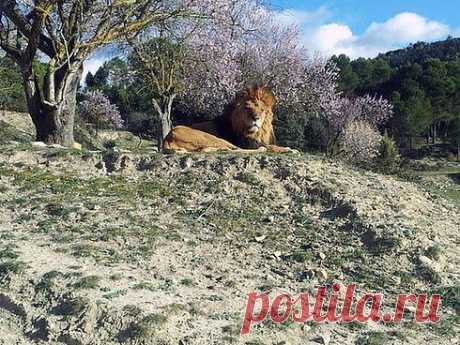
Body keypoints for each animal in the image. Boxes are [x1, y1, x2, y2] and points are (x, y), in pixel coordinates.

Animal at [164, 85, 294, 153]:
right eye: (247, 107)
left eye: (262, 109)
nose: (255, 118)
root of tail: (167, 138)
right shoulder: (246, 142)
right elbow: (269, 146)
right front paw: (288, 148)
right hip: (209, 137)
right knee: (237, 149)